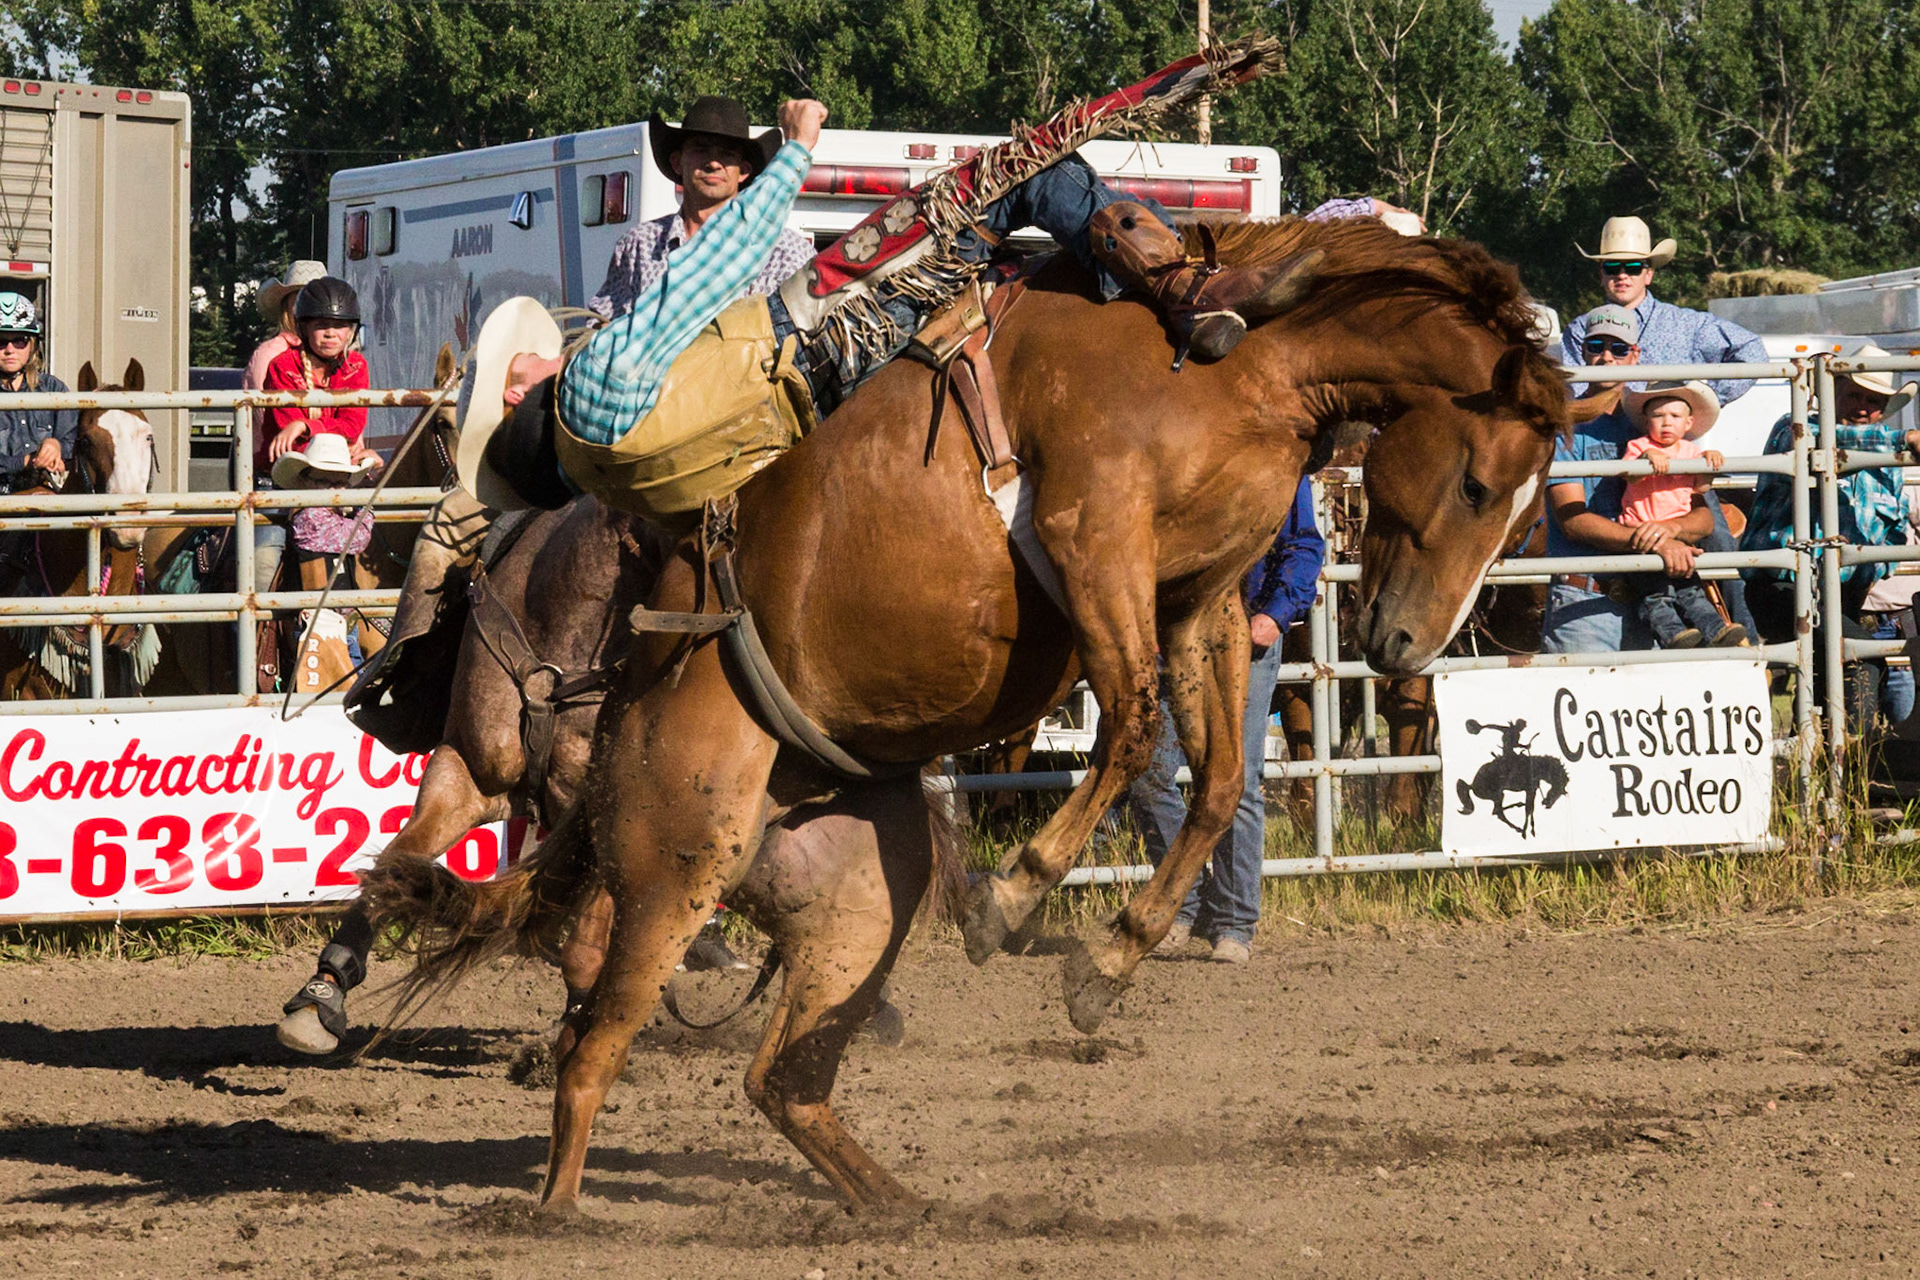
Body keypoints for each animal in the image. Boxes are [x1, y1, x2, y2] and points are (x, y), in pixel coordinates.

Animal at [365, 219, 1617, 1213]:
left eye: (1523, 506)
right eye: (1478, 481)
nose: (1404, 646)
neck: (1243, 363)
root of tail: (633, 699)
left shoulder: (1198, 594)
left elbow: (1214, 781)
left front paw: (1105, 965)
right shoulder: (1093, 537)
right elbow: (1132, 724)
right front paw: (1018, 898)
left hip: (859, 888)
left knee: (780, 1076)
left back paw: (900, 1202)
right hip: (678, 855)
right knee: (592, 1038)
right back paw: (556, 1210)